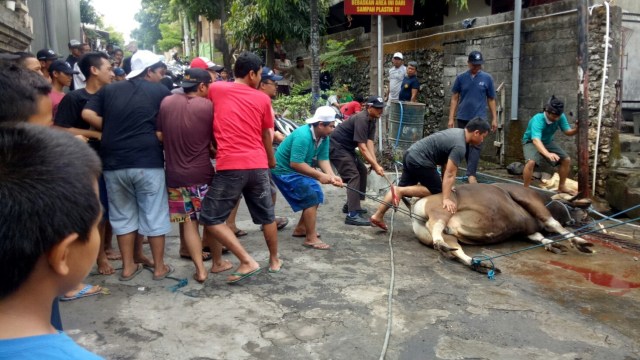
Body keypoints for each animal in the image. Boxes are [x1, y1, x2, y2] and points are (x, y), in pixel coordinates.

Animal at [410, 183, 596, 272]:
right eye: (570, 205)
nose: (584, 217)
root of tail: (417, 204)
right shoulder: (530, 200)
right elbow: (554, 223)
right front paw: (580, 242)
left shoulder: (526, 229)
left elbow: (538, 236)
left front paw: (552, 244)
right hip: (442, 210)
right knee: (434, 225)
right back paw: (441, 243)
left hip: (449, 236)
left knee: (456, 250)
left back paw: (478, 264)